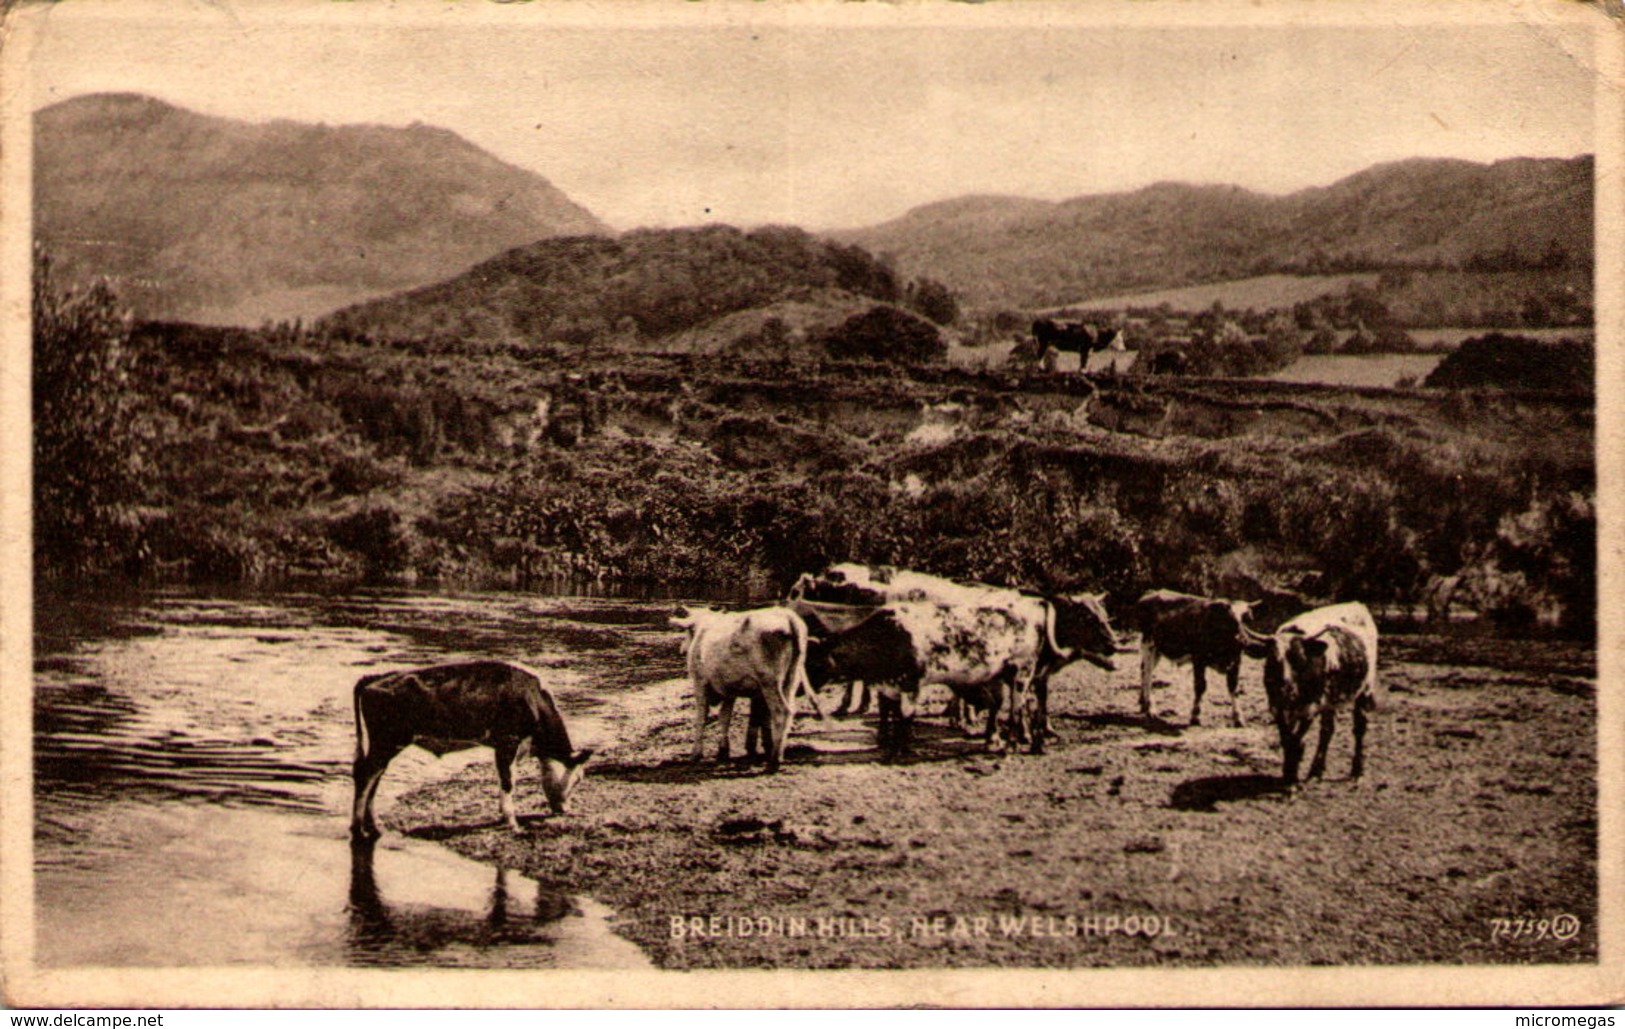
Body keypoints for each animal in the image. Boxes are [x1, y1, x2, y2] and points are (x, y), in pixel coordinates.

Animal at [352, 663, 594, 838]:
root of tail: (375, 678)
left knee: (373, 777)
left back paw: (372, 826)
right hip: (387, 740)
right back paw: (359, 828)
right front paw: (512, 823)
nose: (564, 809)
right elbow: (508, 782)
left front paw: (503, 816)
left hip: (385, 744)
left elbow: (504, 779)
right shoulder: (508, 741)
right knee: (366, 775)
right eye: (578, 780)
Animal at [669, 601, 809, 770]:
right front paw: (723, 751)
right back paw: (778, 754)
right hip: (791, 679)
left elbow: (701, 717)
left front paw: (696, 754)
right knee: (789, 710)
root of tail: (788, 616)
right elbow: (724, 717)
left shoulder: (700, 682)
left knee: (781, 711)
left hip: (770, 682)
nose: (682, 651)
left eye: (688, 632)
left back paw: (774, 761)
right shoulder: (729, 689)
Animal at [1137, 588, 1261, 725]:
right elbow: (1200, 686)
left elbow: (1233, 687)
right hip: (1149, 644)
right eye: (1228, 618)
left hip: (1157, 650)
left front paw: (1238, 717)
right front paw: (1195, 715)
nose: (1242, 640)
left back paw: (1143, 703)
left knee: (1143, 670)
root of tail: (1152, 593)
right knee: (1148, 674)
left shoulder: (1236, 660)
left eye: (1247, 619)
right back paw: (1150, 708)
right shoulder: (1199, 659)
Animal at [1248, 598, 1378, 783]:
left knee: (1359, 728)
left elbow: (1296, 739)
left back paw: (1356, 771)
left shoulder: (1310, 706)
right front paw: (1288, 772)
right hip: (1330, 700)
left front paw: (1292, 776)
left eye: (1300, 659)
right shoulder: (1276, 706)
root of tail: (1356, 604)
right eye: (1272, 660)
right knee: (1327, 730)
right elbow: (1287, 738)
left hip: (1365, 688)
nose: (1285, 689)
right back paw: (1316, 770)